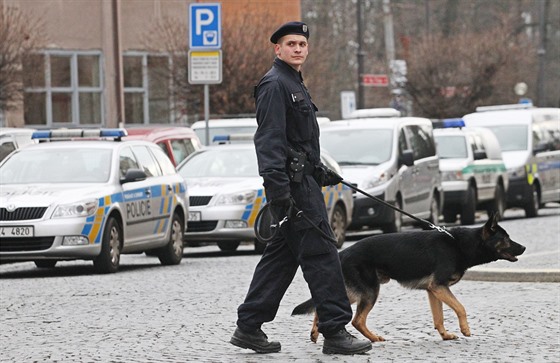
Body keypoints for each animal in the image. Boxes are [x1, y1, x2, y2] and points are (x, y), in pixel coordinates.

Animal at [294, 216, 524, 344]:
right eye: (506, 238)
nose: (523, 247)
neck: (460, 244)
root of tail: (342, 252)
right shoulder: (439, 286)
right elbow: (461, 307)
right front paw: (465, 329)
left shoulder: (434, 291)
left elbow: (438, 318)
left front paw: (445, 336)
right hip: (369, 291)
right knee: (357, 320)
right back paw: (373, 339)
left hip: (357, 291)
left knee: (324, 306)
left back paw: (316, 332)